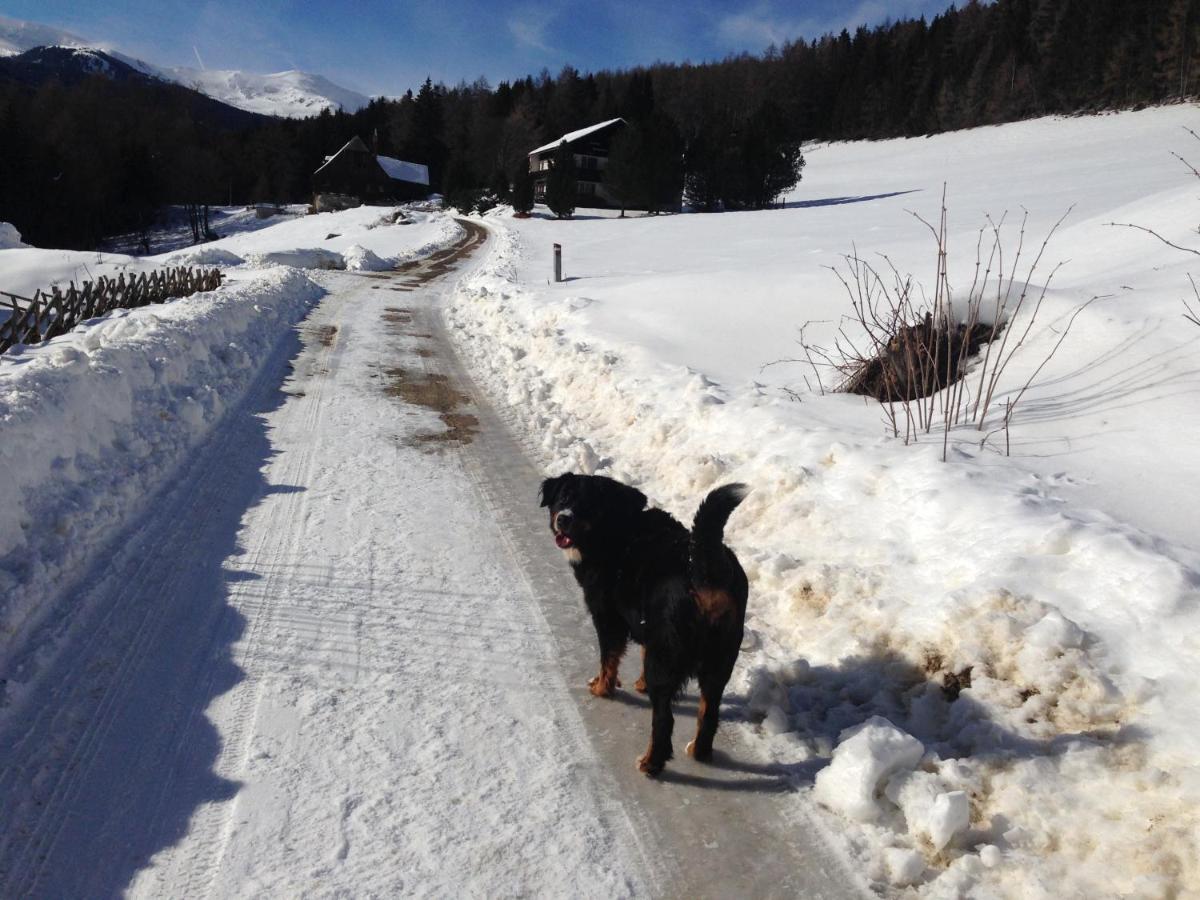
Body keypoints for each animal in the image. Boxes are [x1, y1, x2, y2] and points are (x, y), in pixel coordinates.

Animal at [537, 475, 744, 777]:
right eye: (563, 498)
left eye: (587, 505)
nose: (563, 518)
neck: (615, 531)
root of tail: (704, 569)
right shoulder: (648, 627)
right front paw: (638, 684)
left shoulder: (607, 620)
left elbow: (608, 661)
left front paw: (602, 687)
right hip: (719, 664)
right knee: (709, 713)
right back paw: (698, 750)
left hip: (666, 659)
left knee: (664, 721)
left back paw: (650, 762)